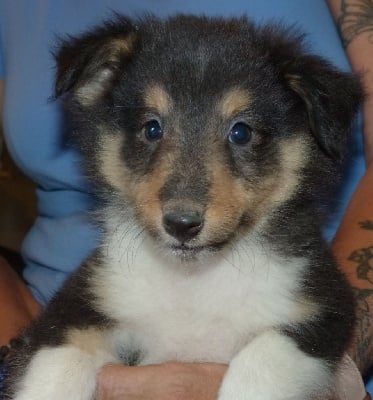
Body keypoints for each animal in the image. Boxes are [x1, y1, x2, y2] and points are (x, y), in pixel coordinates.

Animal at [5, 14, 360, 400]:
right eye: (151, 128)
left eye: (241, 132)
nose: (181, 224)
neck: (193, 281)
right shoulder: (79, 304)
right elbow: (57, 364)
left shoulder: (323, 307)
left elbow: (262, 361)